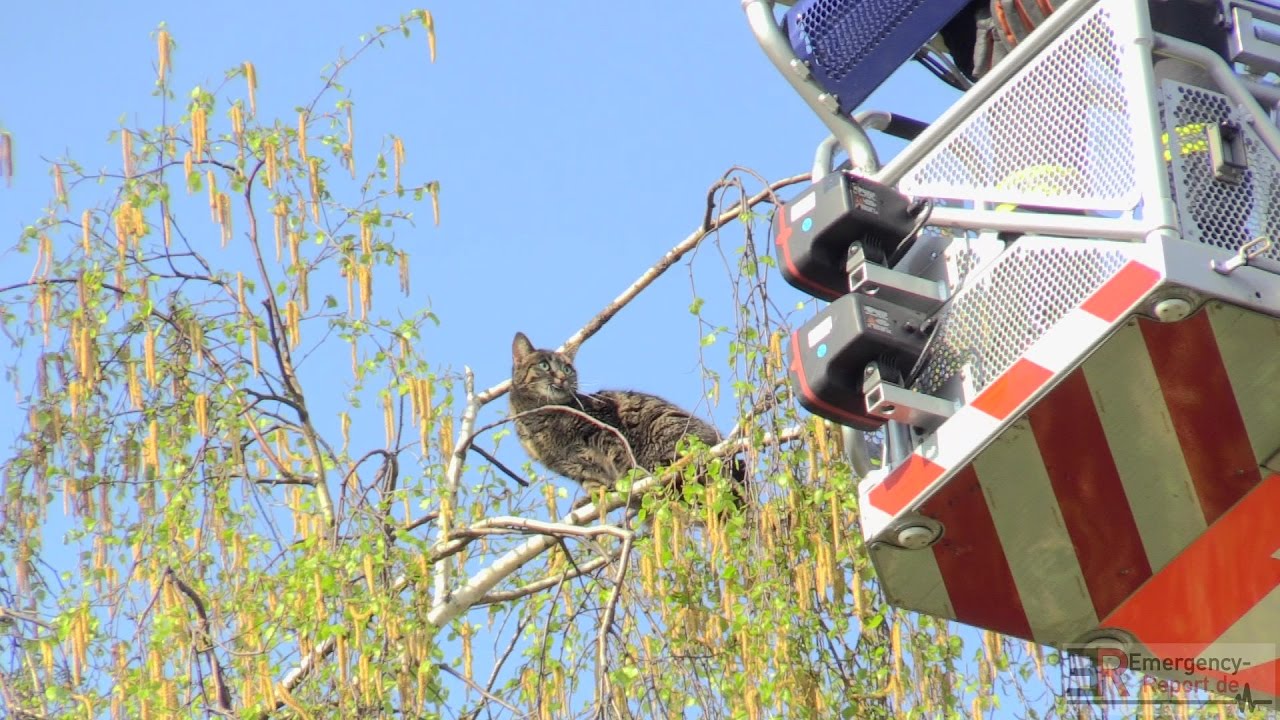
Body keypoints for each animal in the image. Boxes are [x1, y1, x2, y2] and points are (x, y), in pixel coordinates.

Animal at [509, 333, 747, 502]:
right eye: (544, 365)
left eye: (568, 369)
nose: (562, 376)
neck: (539, 418)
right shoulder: (567, 465)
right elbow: (589, 479)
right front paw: (593, 495)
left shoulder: (603, 430)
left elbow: (619, 456)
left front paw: (629, 478)